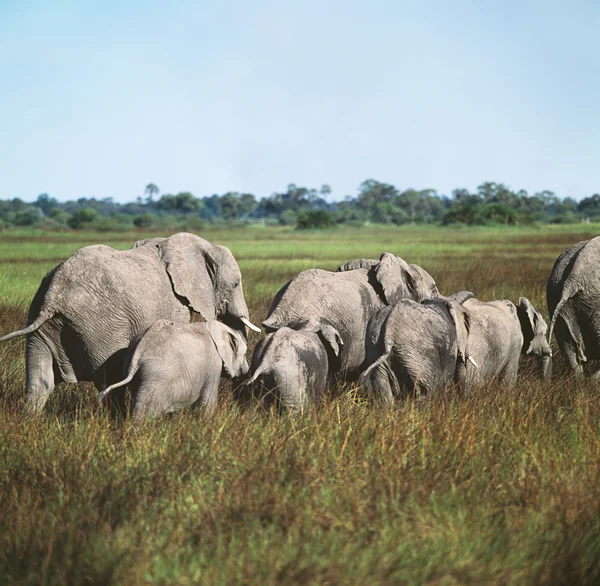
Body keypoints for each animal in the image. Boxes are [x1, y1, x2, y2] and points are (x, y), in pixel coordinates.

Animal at [98, 320, 248, 420]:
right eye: (246, 353)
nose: (246, 372)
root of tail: (139, 350)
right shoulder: (213, 365)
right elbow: (207, 403)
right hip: (156, 375)